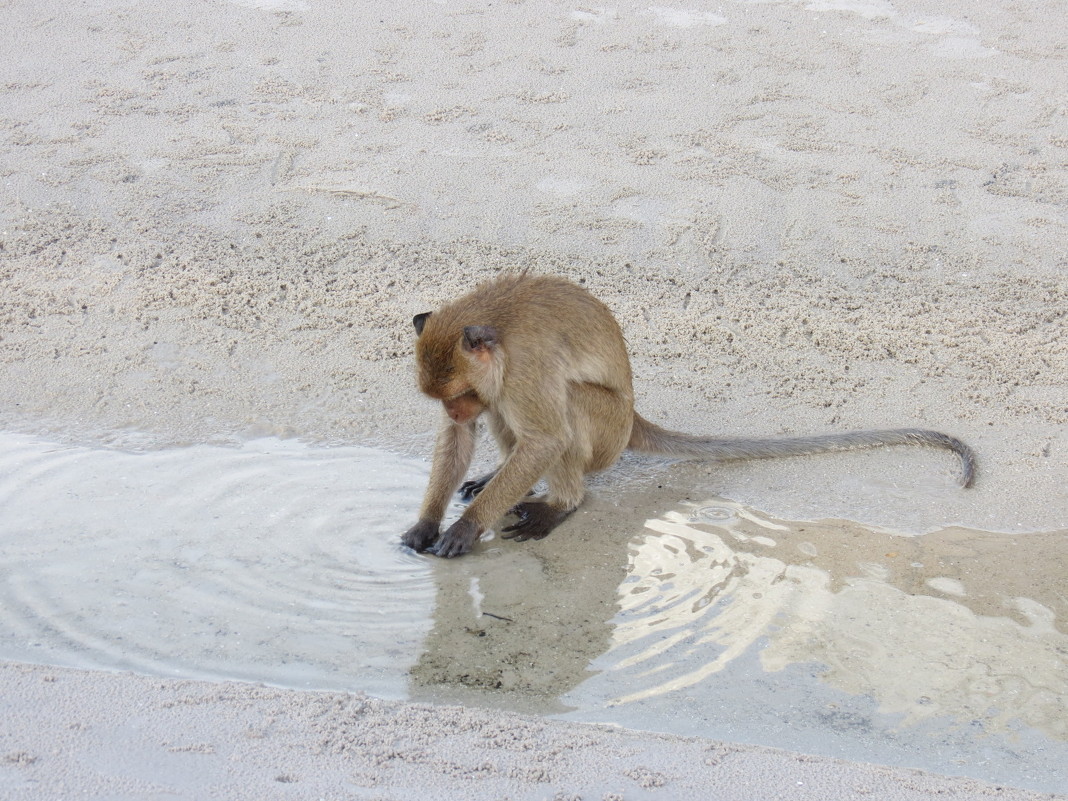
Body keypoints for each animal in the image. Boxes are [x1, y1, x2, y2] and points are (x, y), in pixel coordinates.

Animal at [401, 275, 978, 559]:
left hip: (605, 427)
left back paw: (561, 504)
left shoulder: (524, 370)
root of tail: (633, 417)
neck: (495, 325)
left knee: (564, 410)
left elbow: (544, 439)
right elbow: (461, 436)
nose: (455, 407)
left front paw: (467, 528)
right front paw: (427, 523)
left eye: (460, 393)